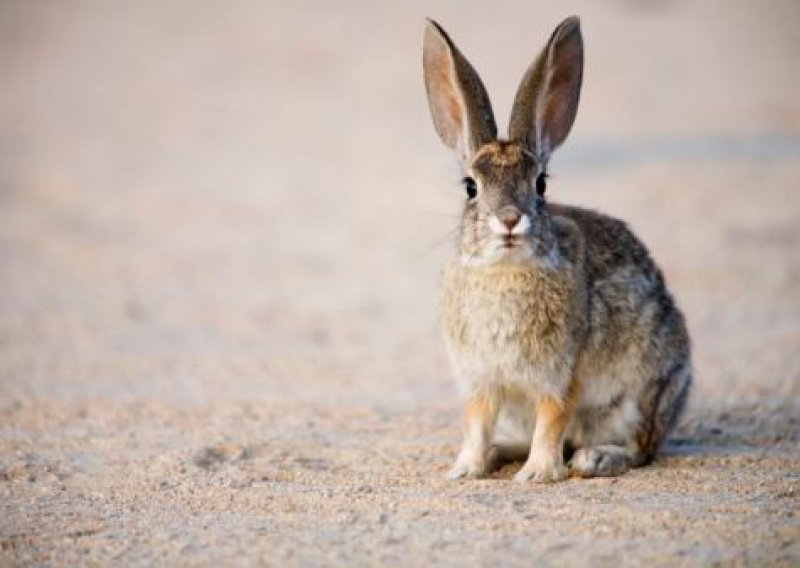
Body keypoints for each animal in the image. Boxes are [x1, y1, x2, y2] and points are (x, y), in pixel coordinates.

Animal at [422, 15, 692, 482]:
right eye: (471, 187)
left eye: (541, 184)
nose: (510, 219)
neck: (504, 271)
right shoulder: (482, 380)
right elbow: (477, 423)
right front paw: (465, 469)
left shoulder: (562, 375)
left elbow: (552, 421)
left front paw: (537, 474)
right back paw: (501, 452)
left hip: (642, 392)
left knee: (640, 448)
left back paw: (594, 459)